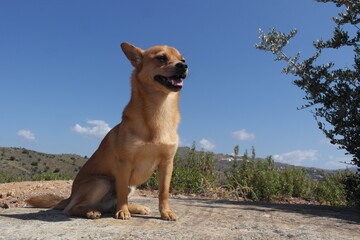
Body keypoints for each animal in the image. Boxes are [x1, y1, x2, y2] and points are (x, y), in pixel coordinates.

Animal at [26, 42, 187, 220]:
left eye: (183, 59)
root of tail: (70, 196)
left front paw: (165, 212)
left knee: (109, 206)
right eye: (161, 57)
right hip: (102, 181)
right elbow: (122, 193)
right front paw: (123, 211)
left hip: (129, 186)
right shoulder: (124, 165)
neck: (159, 111)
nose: (183, 66)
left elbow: (163, 192)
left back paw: (135, 207)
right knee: (71, 209)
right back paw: (91, 211)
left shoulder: (167, 164)